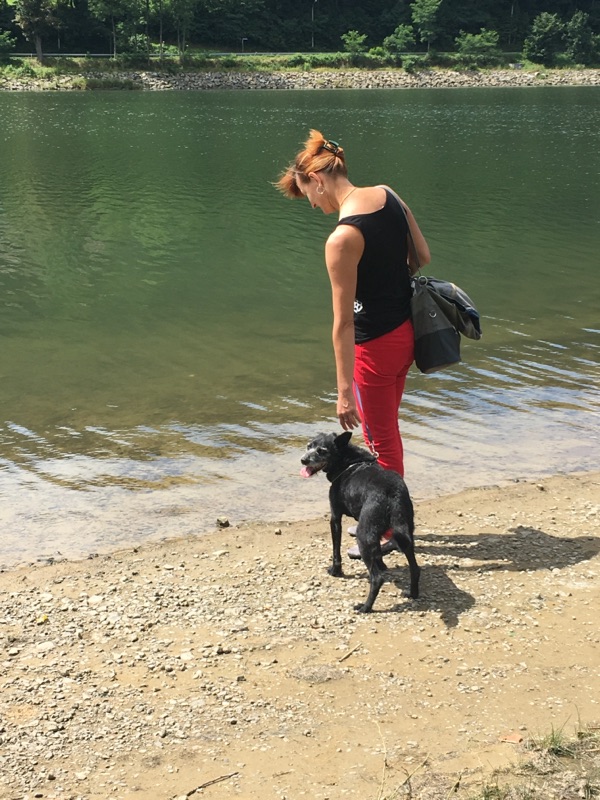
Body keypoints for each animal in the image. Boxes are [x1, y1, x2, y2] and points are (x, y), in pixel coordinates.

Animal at [300, 431, 420, 613]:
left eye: (322, 451)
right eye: (309, 446)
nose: (304, 460)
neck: (347, 462)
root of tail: (392, 493)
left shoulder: (335, 518)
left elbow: (336, 551)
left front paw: (335, 571)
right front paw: (383, 564)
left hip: (363, 534)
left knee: (377, 578)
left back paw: (365, 607)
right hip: (405, 532)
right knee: (415, 568)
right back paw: (413, 593)